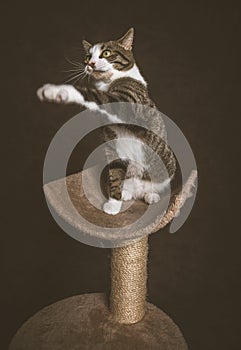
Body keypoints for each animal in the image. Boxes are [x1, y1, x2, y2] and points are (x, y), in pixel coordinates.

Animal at [36, 29, 176, 216]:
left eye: (106, 53)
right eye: (88, 57)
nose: (91, 63)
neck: (109, 81)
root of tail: (137, 190)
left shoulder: (128, 103)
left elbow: (96, 96)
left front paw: (59, 91)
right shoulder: (111, 144)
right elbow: (115, 175)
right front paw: (114, 204)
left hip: (166, 160)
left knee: (157, 184)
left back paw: (150, 195)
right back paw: (126, 193)